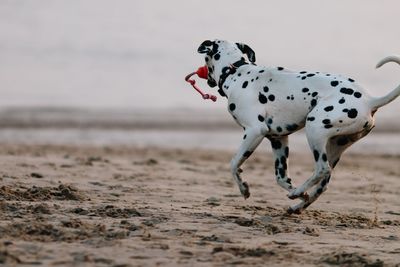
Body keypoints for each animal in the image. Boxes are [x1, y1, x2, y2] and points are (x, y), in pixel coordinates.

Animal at [197, 39, 400, 216]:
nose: (205, 77)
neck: (236, 72)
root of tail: (370, 100)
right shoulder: (278, 140)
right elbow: (281, 177)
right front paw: (298, 192)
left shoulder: (254, 132)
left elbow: (233, 164)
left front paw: (244, 188)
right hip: (335, 146)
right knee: (323, 184)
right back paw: (298, 204)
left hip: (315, 129)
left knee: (322, 169)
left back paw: (296, 194)